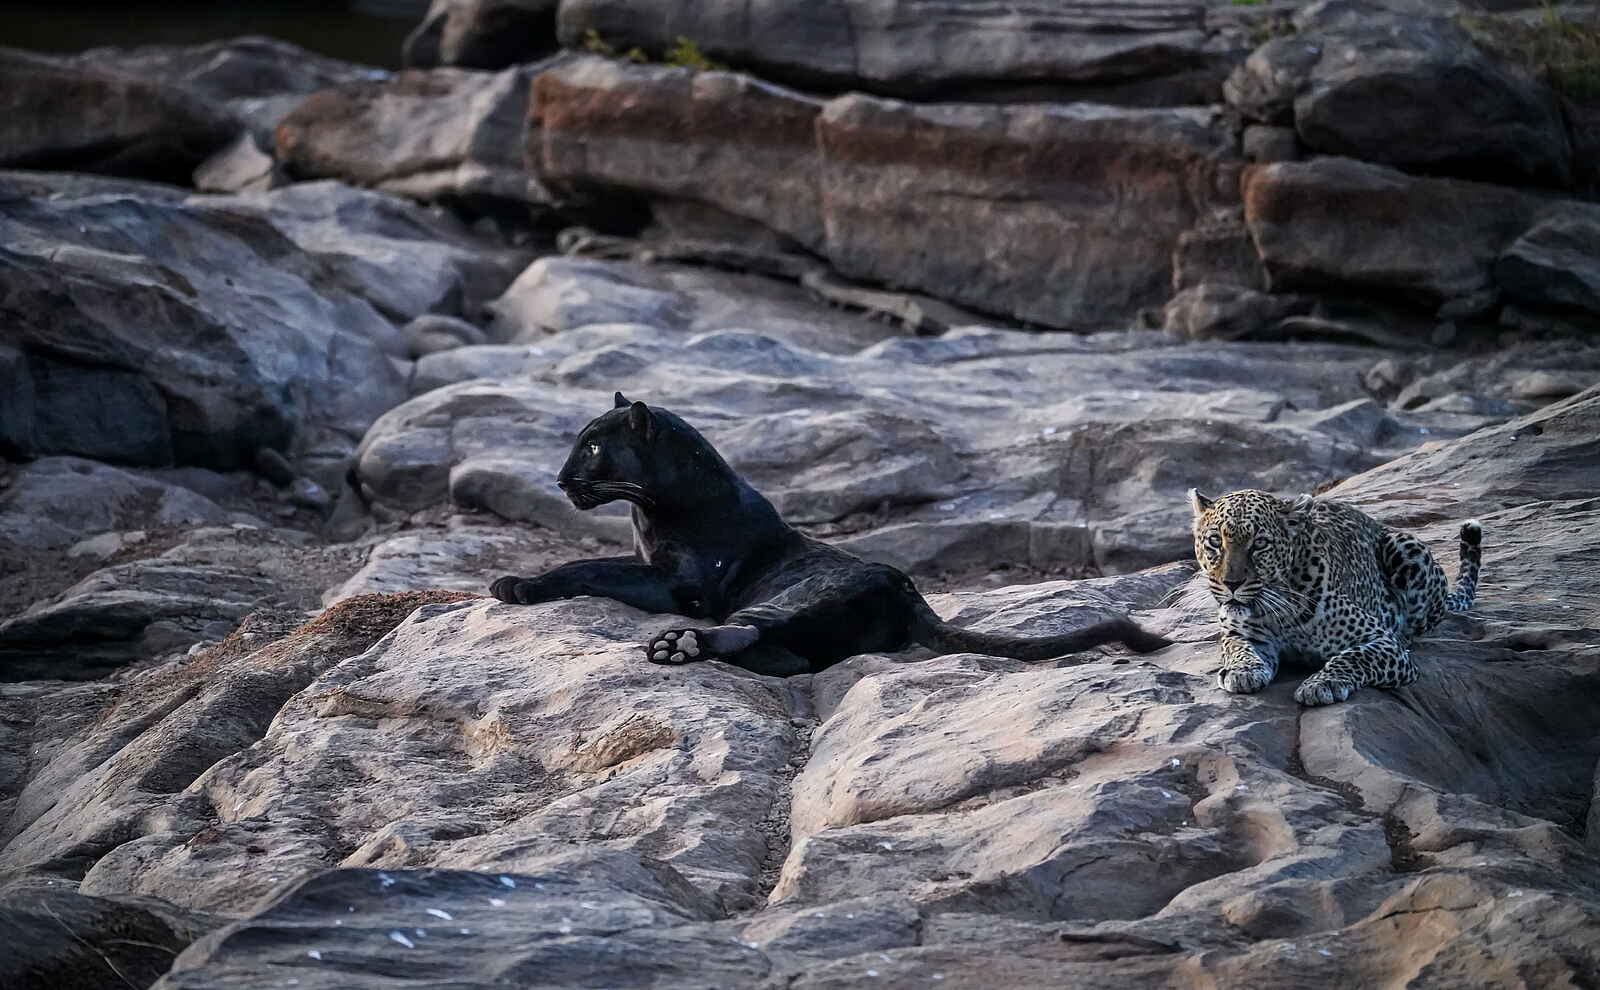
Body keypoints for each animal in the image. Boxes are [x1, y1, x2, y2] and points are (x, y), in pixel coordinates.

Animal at [1188, 488, 1482, 706]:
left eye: (1260, 543)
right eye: (1215, 541)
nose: (1231, 583)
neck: (1278, 610)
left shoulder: (1382, 641)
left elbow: (1355, 656)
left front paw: (1321, 683)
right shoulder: (1242, 633)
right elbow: (1238, 648)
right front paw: (1242, 671)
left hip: (1406, 549)